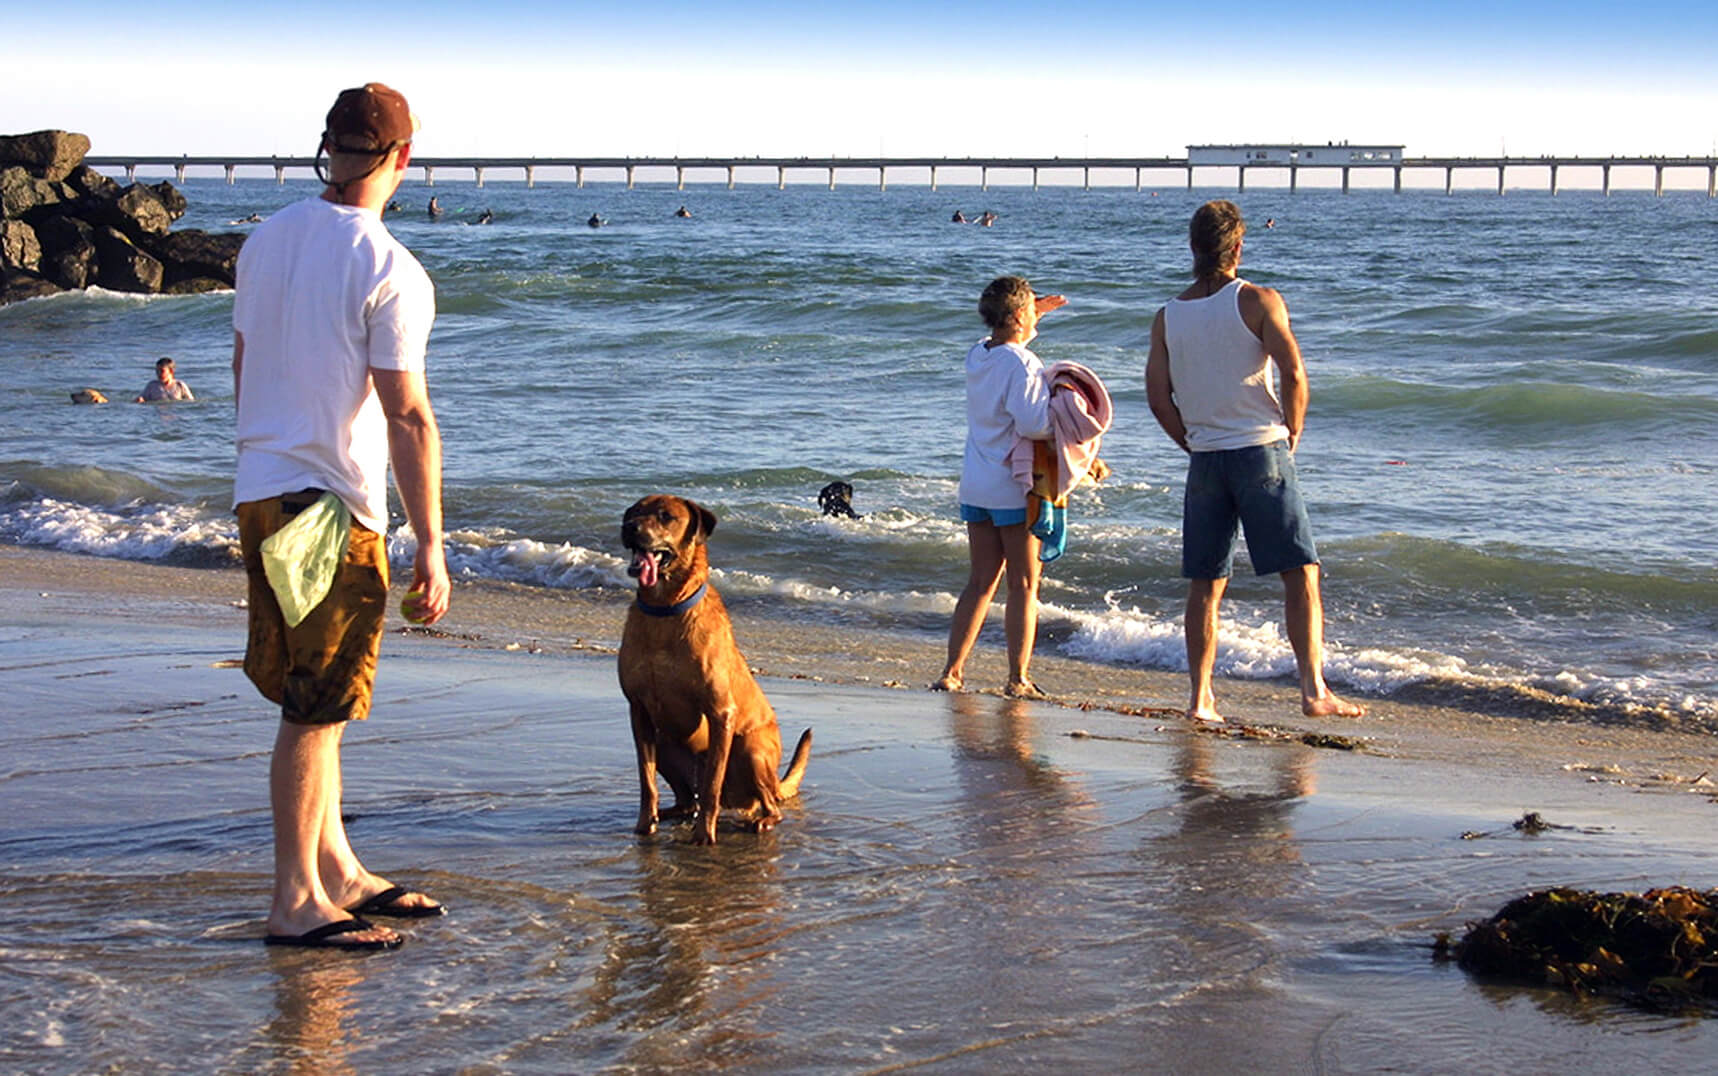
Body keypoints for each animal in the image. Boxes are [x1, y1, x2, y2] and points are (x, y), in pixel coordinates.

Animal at [618, 495, 810, 845]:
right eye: (633, 511)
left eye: (665, 516)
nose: (628, 527)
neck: (665, 611)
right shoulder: (639, 710)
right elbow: (646, 780)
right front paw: (644, 825)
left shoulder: (721, 713)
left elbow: (711, 786)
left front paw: (704, 834)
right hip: (664, 741)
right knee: (685, 800)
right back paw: (668, 813)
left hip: (751, 749)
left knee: (767, 803)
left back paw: (763, 819)